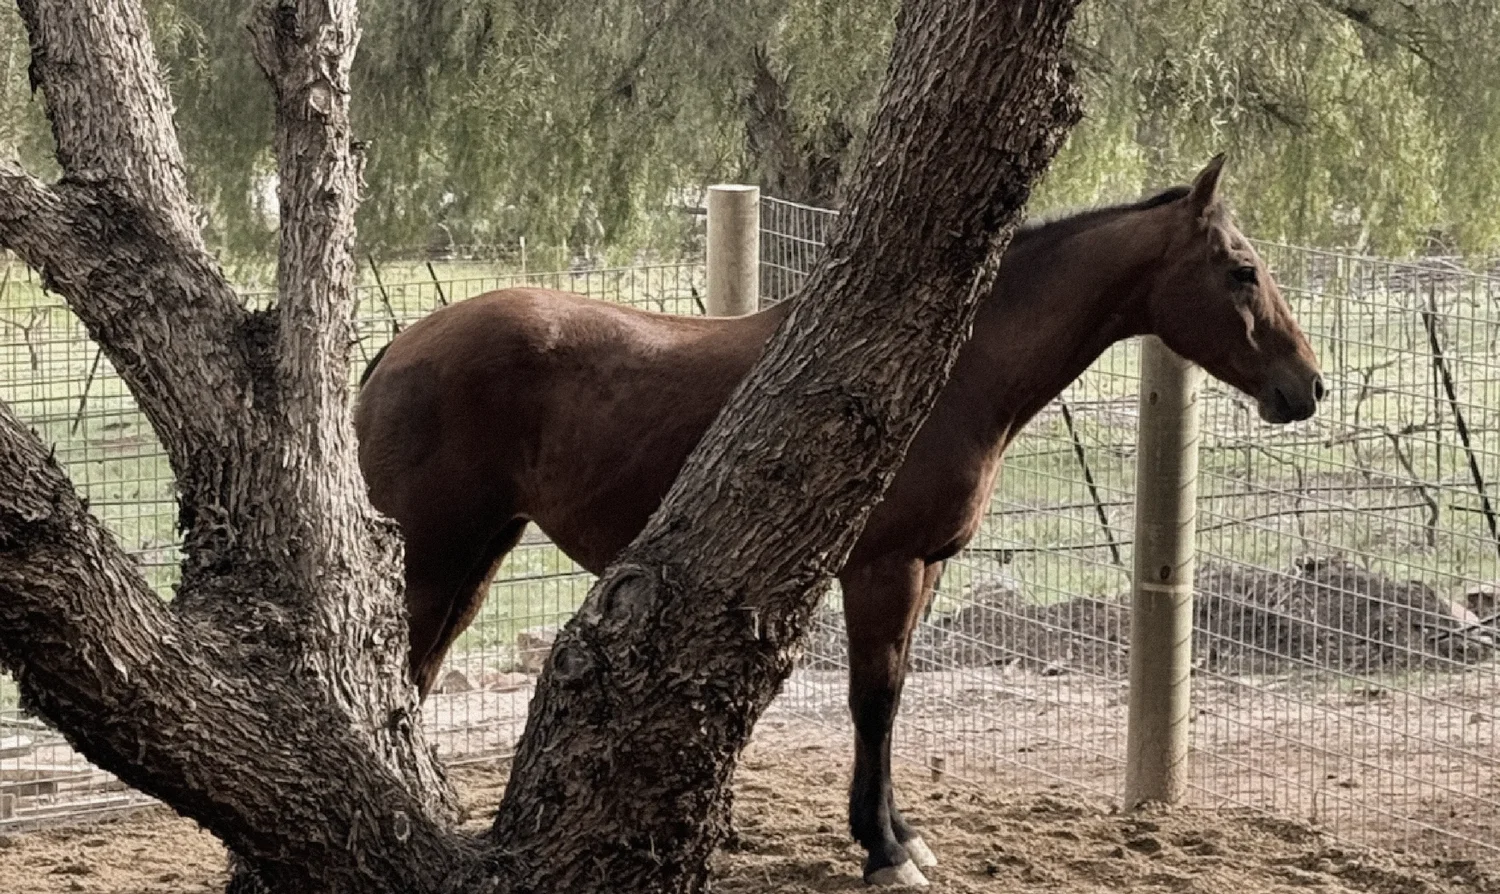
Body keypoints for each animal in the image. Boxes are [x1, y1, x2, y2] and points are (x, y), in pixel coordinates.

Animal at [354, 156, 1323, 887]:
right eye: (1242, 270)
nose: (1306, 387)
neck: (948, 376)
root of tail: (402, 345)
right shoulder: (883, 569)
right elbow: (874, 699)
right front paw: (883, 851)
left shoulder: (926, 568)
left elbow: (892, 700)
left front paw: (901, 833)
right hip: (435, 555)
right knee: (402, 668)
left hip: (478, 555)